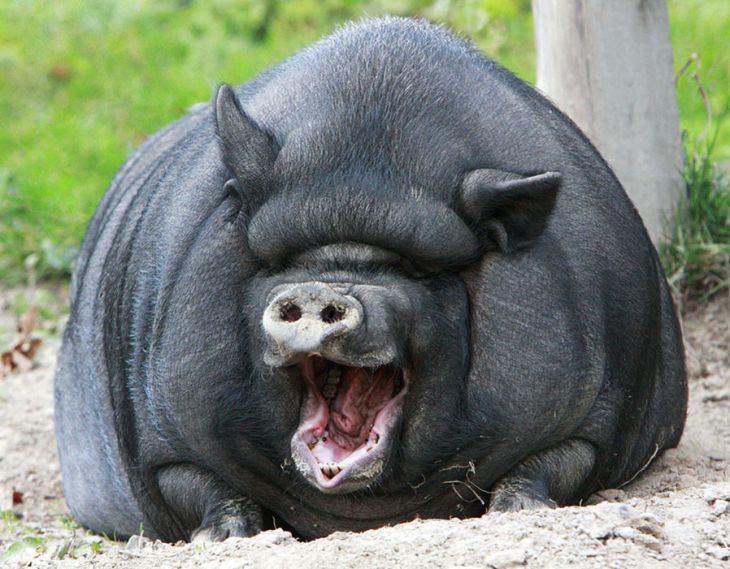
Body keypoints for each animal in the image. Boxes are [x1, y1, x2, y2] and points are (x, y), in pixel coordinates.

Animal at [54, 17, 687, 542]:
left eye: (417, 271)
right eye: (283, 262)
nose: (319, 291)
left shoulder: (593, 414)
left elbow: (557, 461)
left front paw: (518, 511)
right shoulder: (161, 434)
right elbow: (193, 481)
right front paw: (222, 538)